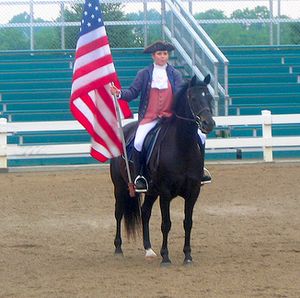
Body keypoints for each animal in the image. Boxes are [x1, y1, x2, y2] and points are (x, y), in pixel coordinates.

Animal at [110, 74, 216, 266]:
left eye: (210, 97)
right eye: (193, 98)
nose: (208, 123)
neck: (182, 146)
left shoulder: (193, 192)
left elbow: (188, 222)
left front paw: (187, 256)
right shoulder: (165, 193)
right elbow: (166, 223)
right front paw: (166, 257)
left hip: (151, 191)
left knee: (145, 212)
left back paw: (148, 249)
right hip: (120, 188)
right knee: (119, 213)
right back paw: (118, 248)